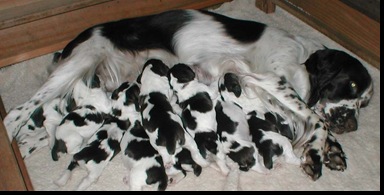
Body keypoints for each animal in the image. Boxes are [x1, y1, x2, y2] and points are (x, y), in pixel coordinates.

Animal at [4, 8, 374, 180]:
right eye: (354, 87)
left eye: (365, 102)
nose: (354, 124)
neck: (301, 56)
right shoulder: (269, 77)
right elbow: (314, 119)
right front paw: (316, 152)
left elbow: (308, 118)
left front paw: (334, 152)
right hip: (76, 65)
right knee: (16, 114)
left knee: (48, 127)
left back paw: (28, 144)